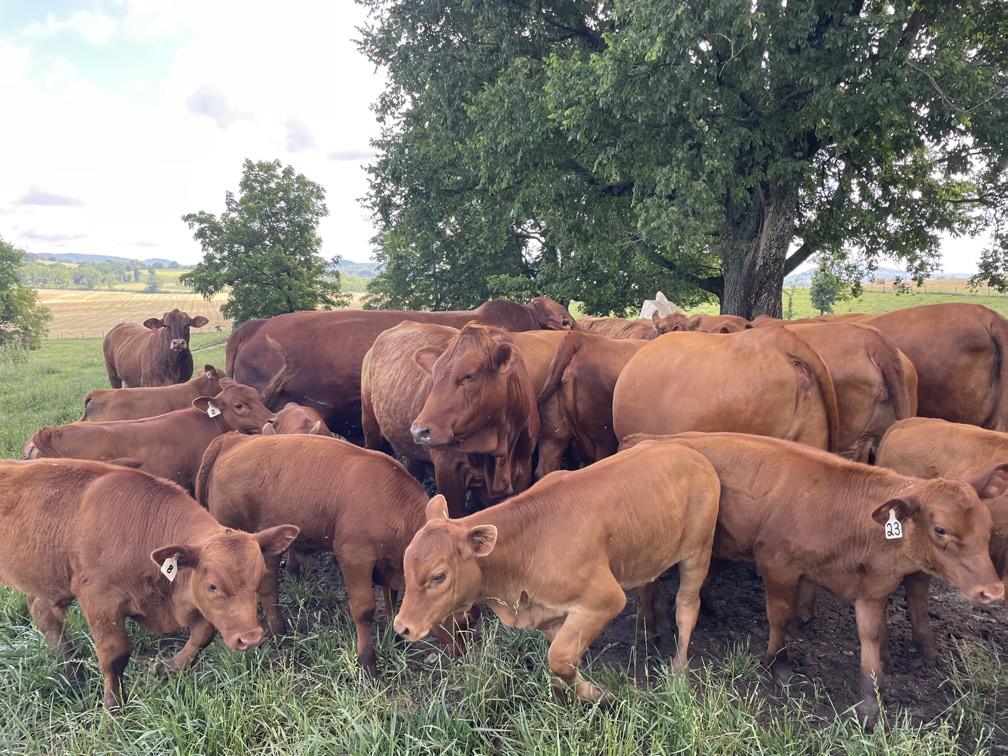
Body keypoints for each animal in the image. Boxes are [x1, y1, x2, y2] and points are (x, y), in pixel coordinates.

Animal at [0, 458, 298, 709]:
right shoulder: (100, 601)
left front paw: (168, 667)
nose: (250, 638)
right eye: (212, 586)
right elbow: (115, 656)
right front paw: (113, 710)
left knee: (43, 613)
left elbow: (202, 634)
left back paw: (72, 670)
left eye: (259, 579)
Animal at [194, 433, 442, 675]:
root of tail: (232, 439)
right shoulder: (354, 557)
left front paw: (396, 637)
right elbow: (364, 610)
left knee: (267, 586)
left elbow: (392, 596)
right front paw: (367, 663)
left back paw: (279, 631)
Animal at [392, 439, 721, 703]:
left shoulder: (604, 600)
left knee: (687, 605)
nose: (402, 627)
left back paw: (678, 669)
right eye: (406, 564)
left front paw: (599, 695)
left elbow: (559, 658)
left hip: (698, 552)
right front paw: (567, 697)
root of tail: (691, 453)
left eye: (439, 576)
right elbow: (562, 660)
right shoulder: (548, 612)